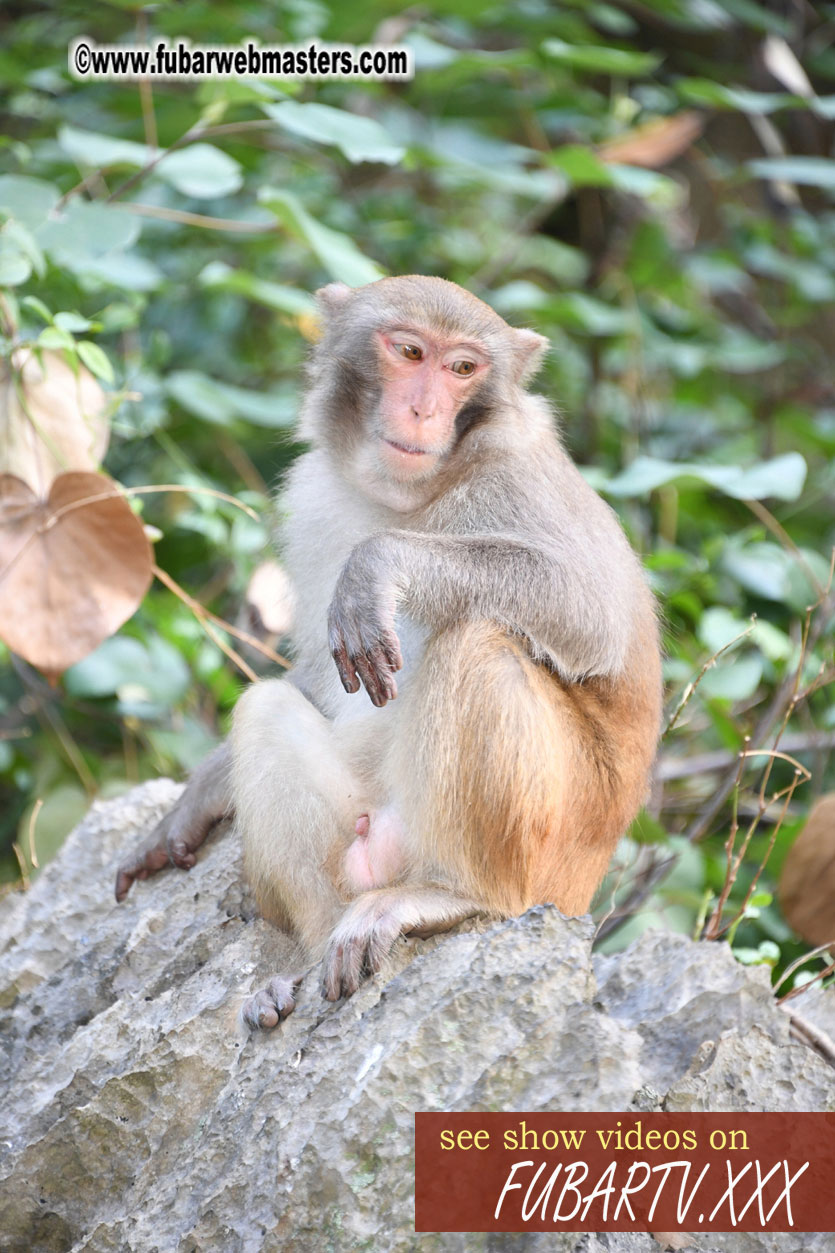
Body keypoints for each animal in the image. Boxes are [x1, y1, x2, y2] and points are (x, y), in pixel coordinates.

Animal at [115, 279, 656, 1032]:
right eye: (409, 352)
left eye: (463, 369)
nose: (424, 408)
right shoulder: (313, 496)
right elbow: (314, 676)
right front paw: (191, 803)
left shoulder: (516, 479)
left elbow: (588, 607)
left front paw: (378, 562)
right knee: (267, 707)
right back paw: (309, 957)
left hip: (546, 863)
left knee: (476, 642)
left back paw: (455, 895)